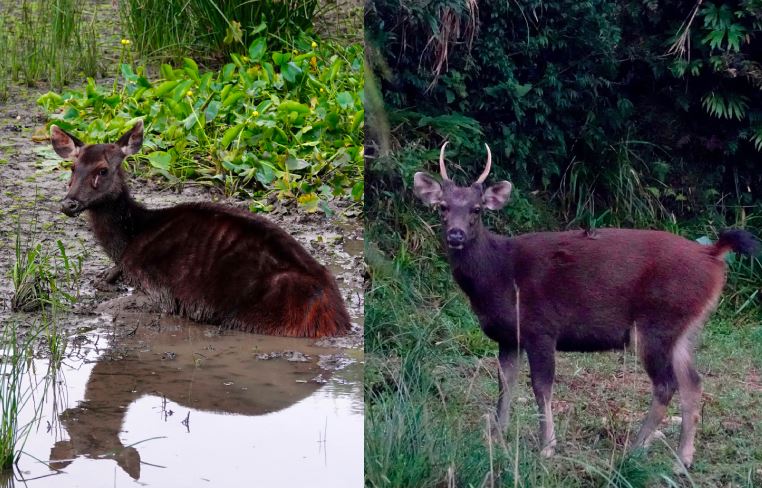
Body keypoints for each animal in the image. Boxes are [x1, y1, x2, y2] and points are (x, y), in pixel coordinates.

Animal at [50, 120, 350, 338]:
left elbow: (108, 305)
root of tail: (336, 316)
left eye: (103, 170)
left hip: (262, 315)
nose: (69, 203)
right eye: (73, 168)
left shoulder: (158, 290)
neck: (131, 237)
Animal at [412, 143, 756, 468]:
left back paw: (635, 450)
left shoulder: (541, 327)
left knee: (666, 385)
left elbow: (541, 387)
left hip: (656, 322)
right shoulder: (509, 336)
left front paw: (547, 446)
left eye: (477, 209)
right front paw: (497, 435)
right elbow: (505, 384)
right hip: (683, 328)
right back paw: (682, 459)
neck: (499, 275)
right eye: (443, 207)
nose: (456, 234)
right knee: (693, 384)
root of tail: (712, 254)